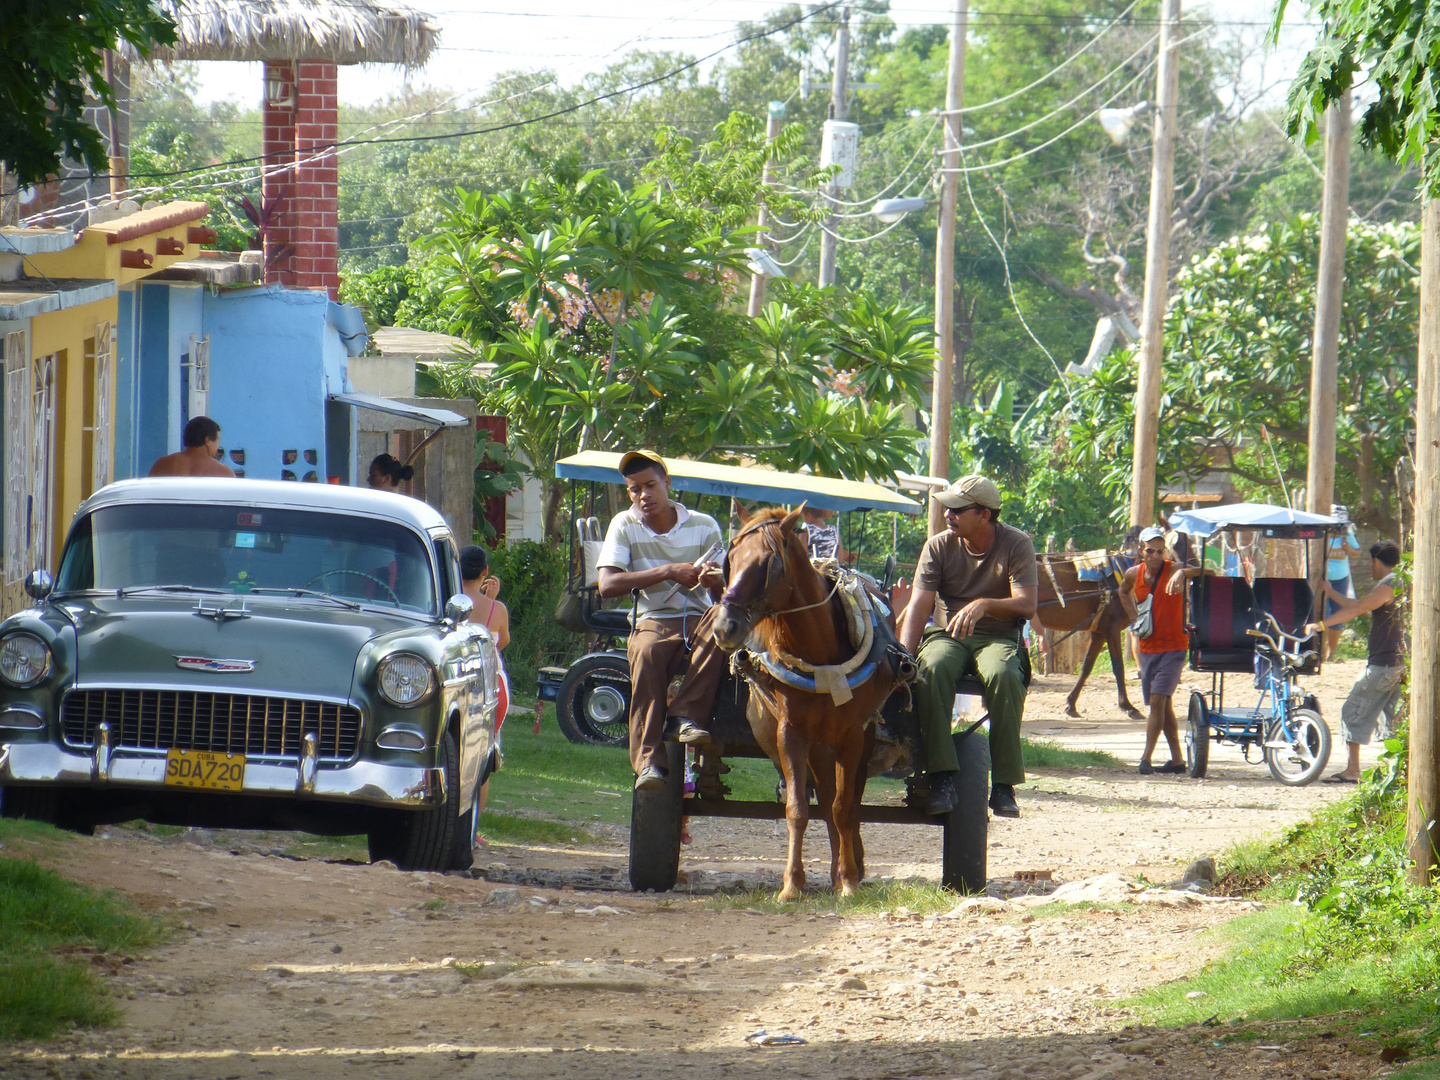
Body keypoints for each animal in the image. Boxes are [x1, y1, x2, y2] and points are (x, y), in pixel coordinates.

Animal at [711, 509, 892, 904]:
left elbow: (844, 809)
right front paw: (792, 884)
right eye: (730, 560)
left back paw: (848, 868)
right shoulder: (791, 734)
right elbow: (798, 808)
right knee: (822, 797)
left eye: (767, 564)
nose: (724, 627)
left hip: (854, 739)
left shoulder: (852, 737)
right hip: (810, 745)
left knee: (844, 802)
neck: (822, 653)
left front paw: (850, 880)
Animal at [1031, 552, 1140, 722]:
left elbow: (1087, 667)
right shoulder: (1112, 628)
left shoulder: (1099, 632)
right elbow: (1118, 667)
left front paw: (1071, 705)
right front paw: (1128, 706)